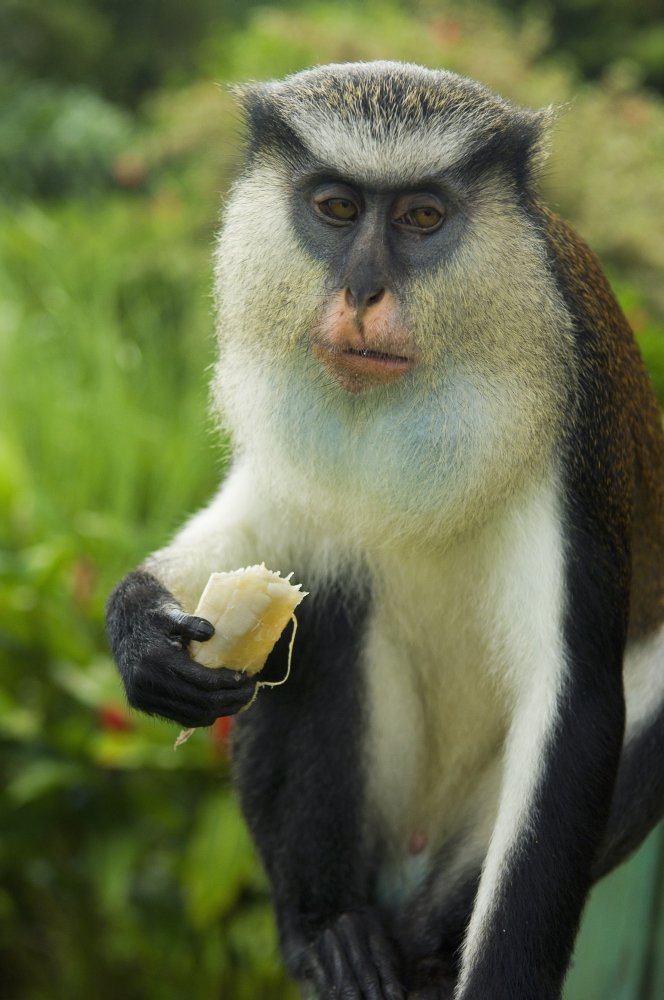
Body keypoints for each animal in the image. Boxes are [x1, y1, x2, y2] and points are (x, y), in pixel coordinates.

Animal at [106, 61, 664, 999]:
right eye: (336, 208)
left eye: (422, 218)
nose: (364, 291)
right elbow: (254, 526)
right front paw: (143, 634)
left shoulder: (574, 424)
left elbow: (571, 705)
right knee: (325, 597)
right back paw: (331, 935)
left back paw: (425, 953)